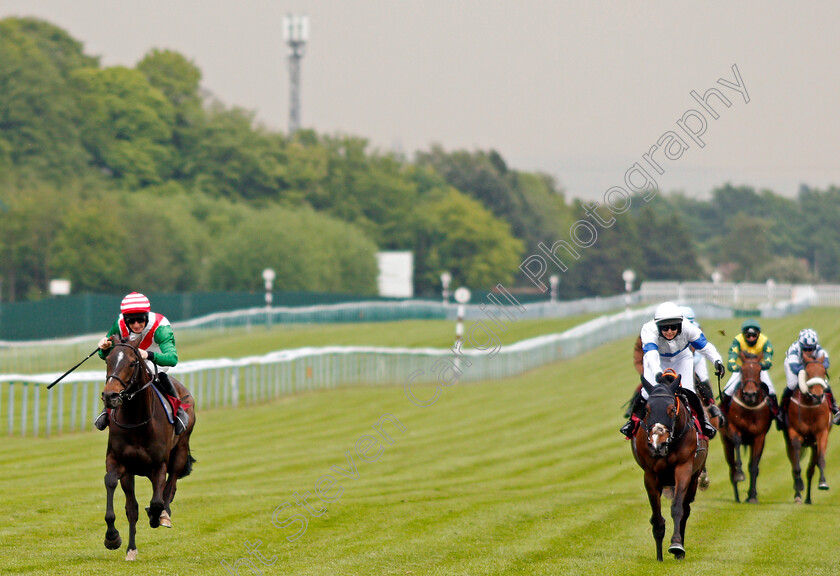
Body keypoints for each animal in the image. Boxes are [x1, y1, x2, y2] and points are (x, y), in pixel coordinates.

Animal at [101, 336, 196, 560]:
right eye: (108, 360)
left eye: (132, 362)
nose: (110, 396)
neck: (138, 422)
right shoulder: (120, 462)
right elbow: (122, 497)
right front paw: (114, 538)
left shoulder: (158, 465)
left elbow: (157, 501)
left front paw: (156, 516)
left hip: (180, 450)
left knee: (171, 485)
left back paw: (163, 516)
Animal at [720, 348, 772, 502]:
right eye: (742, 370)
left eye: (759, 370)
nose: (750, 394)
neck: (749, 408)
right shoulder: (733, 428)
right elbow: (737, 442)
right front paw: (740, 474)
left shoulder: (759, 437)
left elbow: (754, 467)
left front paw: (753, 496)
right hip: (726, 443)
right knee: (731, 466)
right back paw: (737, 495)